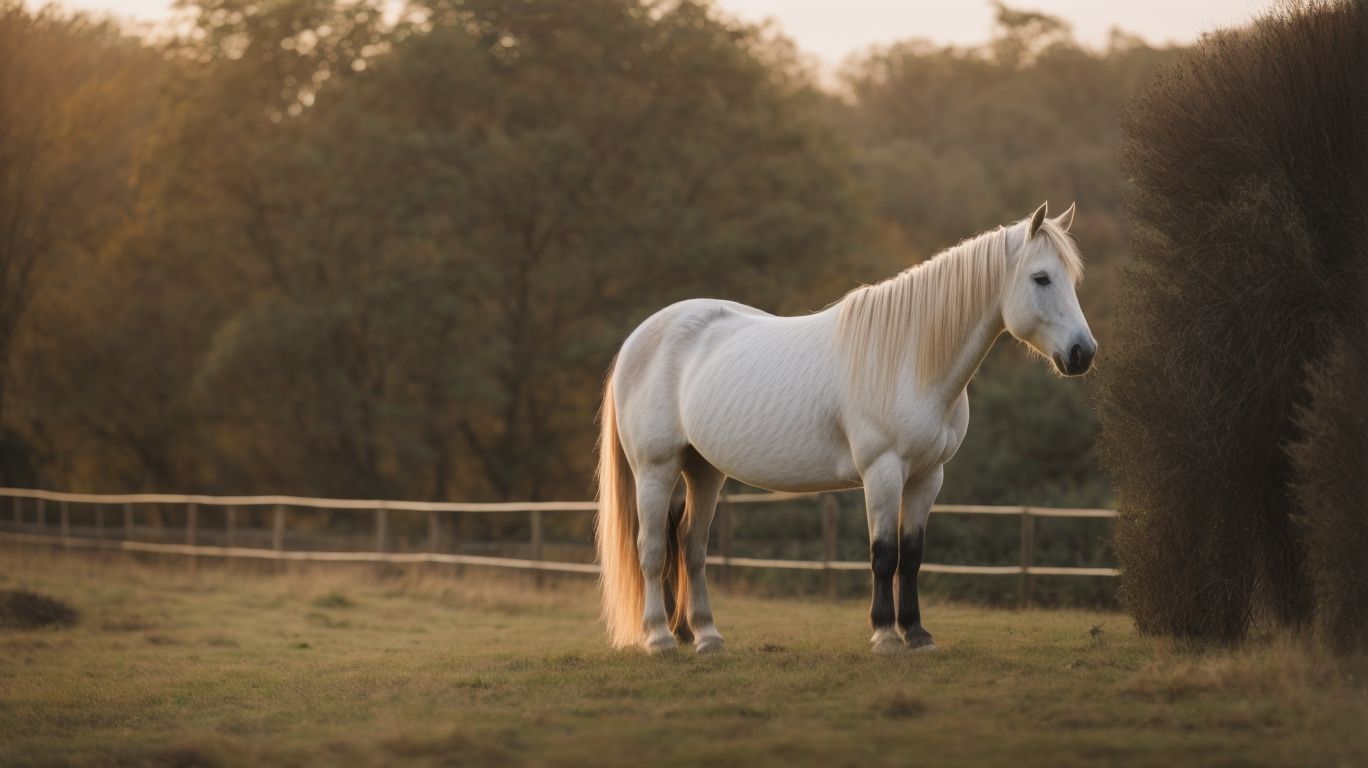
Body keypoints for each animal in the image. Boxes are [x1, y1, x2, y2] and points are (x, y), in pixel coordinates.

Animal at [595, 202, 1095, 654]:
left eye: (1071, 279)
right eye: (1041, 278)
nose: (1082, 353)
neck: (908, 358)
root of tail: (640, 337)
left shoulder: (928, 477)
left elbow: (912, 555)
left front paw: (918, 634)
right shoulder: (882, 471)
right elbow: (884, 554)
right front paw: (886, 635)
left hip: (703, 469)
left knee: (692, 547)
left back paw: (706, 637)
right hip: (656, 467)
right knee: (653, 549)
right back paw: (660, 639)